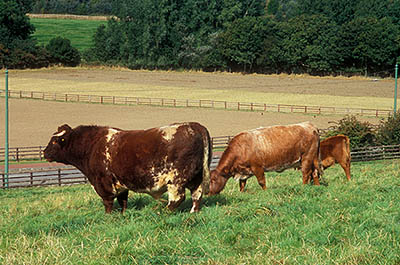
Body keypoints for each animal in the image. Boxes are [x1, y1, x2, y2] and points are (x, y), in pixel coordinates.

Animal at [43, 121, 212, 212]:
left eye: (54, 141)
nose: (44, 152)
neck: (92, 146)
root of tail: (194, 125)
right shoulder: (121, 183)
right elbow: (123, 201)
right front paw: (123, 214)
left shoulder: (103, 182)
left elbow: (108, 202)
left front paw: (109, 216)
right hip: (197, 177)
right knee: (197, 196)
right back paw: (193, 212)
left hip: (176, 179)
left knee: (177, 198)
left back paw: (162, 212)